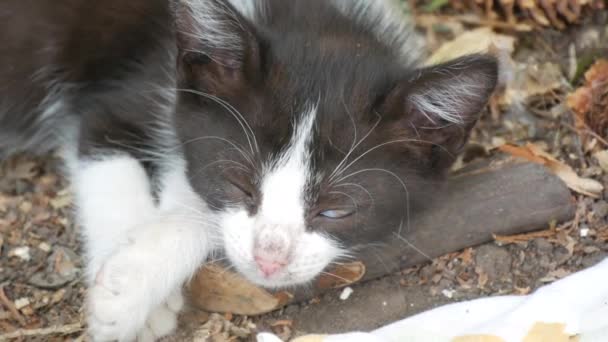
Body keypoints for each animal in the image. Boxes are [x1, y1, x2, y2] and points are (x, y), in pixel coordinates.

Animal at [0, 0, 496, 340]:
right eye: (238, 183)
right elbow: (112, 171)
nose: (270, 260)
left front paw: (139, 278)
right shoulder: (118, 101)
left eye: (336, 211)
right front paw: (127, 298)